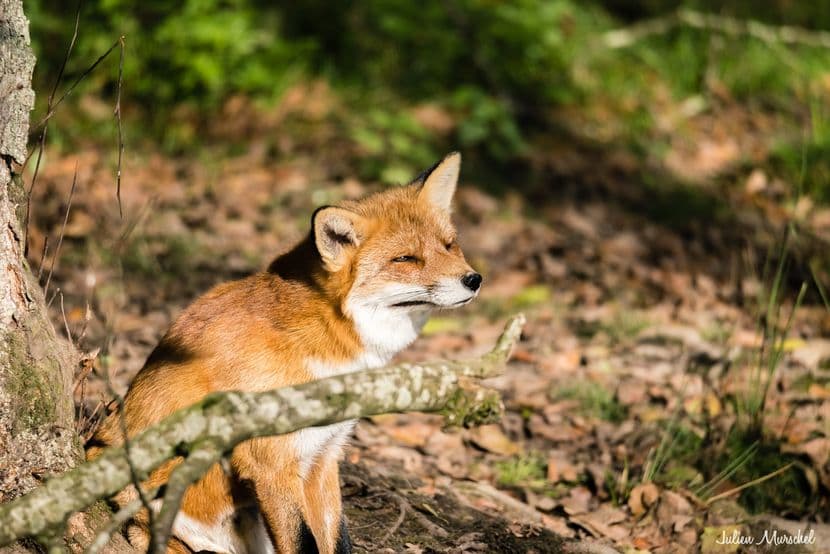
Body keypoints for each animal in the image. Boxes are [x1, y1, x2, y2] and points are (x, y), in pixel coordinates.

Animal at [86, 152, 482, 554]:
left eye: (449, 245)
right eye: (405, 259)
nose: (474, 280)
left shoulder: (324, 456)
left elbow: (337, 540)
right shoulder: (271, 463)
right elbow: (304, 543)